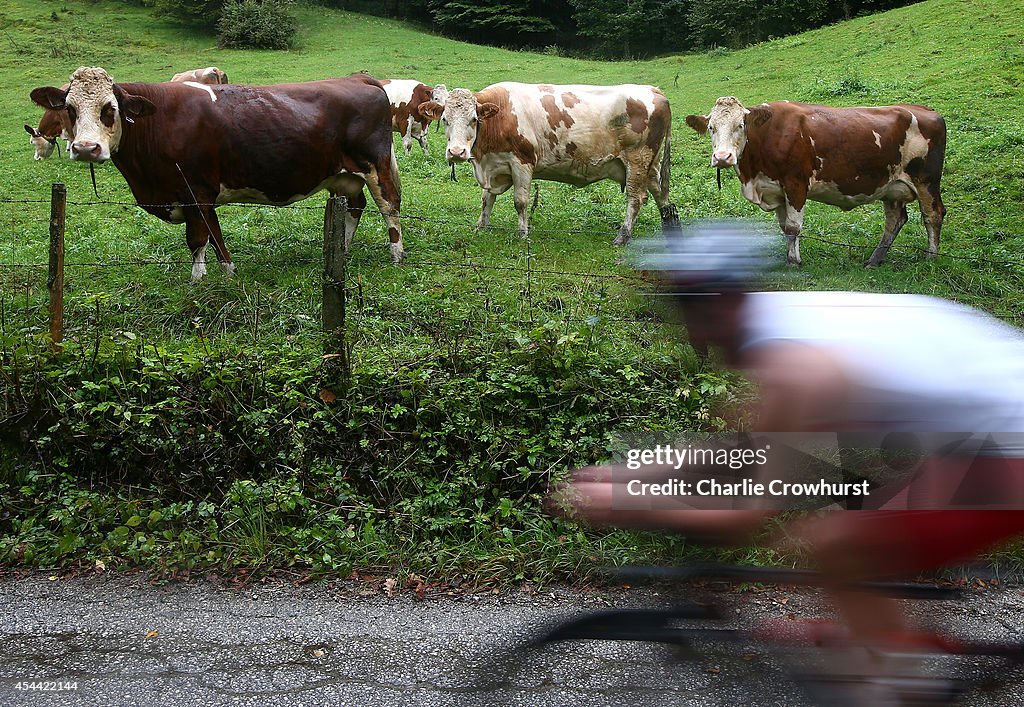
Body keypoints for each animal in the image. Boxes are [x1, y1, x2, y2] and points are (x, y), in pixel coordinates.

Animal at [33, 64, 399, 276]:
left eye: (110, 108)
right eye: (70, 109)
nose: (85, 148)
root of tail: (360, 78)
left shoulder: (195, 190)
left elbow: (198, 239)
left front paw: (200, 282)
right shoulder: (199, 196)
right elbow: (213, 235)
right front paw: (228, 273)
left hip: (374, 164)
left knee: (389, 204)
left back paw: (397, 254)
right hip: (341, 173)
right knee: (354, 206)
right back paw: (342, 248)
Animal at [419, 81, 675, 241]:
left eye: (473, 119)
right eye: (445, 119)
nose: (456, 152)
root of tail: (654, 91)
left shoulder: (522, 163)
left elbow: (520, 201)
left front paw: (522, 233)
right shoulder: (493, 166)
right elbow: (486, 199)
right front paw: (481, 227)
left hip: (638, 159)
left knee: (635, 198)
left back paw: (622, 236)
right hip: (649, 164)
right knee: (661, 194)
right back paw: (672, 230)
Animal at [684, 96, 946, 266]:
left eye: (741, 125)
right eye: (711, 127)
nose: (722, 157)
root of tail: (926, 109)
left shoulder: (796, 184)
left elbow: (793, 227)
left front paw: (793, 262)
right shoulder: (775, 189)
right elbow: (784, 228)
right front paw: (791, 257)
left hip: (926, 180)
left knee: (932, 215)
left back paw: (930, 259)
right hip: (891, 186)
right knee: (895, 220)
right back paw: (874, 260)